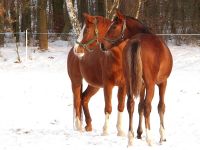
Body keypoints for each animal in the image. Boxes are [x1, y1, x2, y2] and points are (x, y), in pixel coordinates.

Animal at [102, 11, 173, 146]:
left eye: (114, 26)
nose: (102, 45)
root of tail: (137, 41)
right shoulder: (162, 83)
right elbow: (160, 107)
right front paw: (162, 136)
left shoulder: (141, 85)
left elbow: (139, 106)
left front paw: (139, 133)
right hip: (151, 85)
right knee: (148, 107)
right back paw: (149, 138)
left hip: (130, 82)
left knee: (131, 104)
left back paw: (130, 138)